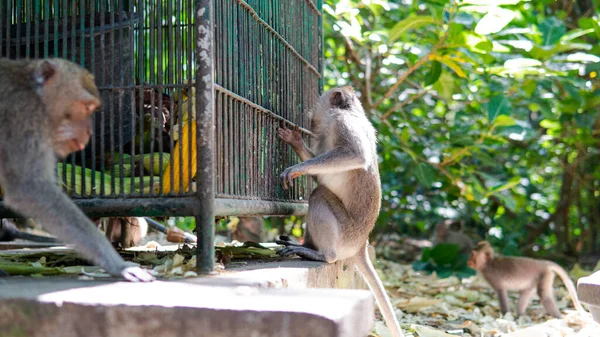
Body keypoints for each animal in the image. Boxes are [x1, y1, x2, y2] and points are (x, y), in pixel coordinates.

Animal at [0, 57, 152, 280]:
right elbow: (29, 189)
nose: (89, 132)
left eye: (92, 109)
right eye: (86, 107)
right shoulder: (24, 117)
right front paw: (119, 264)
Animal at [276, 86, 404, 336]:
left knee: (318, 196)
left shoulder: (342, 123)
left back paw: (323, 255)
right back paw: (307, 246)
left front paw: (297, 167)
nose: (311, 120)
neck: (352, 111)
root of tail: (362, 244)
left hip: (346, 233)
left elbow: (355, 155)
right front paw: (296, 142)